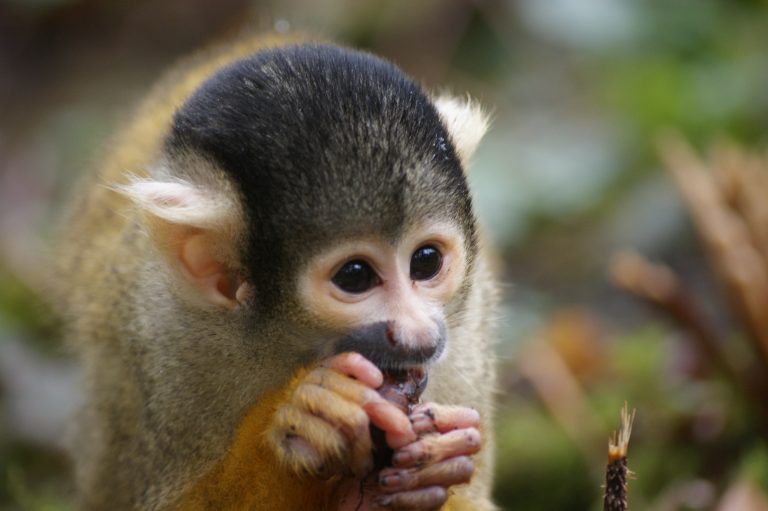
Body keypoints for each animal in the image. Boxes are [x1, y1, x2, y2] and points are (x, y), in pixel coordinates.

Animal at [54, 33, 498, 511]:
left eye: (426, 261)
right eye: (355, 276)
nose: (421, 335)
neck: (284, 345)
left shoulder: (468, 337)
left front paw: (434, 467)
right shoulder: (165, 346)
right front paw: (297, 428)